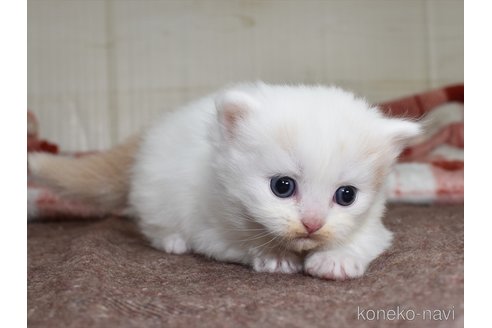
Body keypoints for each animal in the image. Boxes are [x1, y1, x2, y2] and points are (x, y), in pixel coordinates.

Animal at [27, 82, 418, 280]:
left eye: (346, 195)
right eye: (282, 187)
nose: (312, 224)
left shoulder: (375, 226)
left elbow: (362, 240)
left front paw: (335, 260)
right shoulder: (210, 229)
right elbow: (245, 244)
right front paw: (274, 256)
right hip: (156, 195)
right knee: (154, 225)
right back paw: (172, 241)